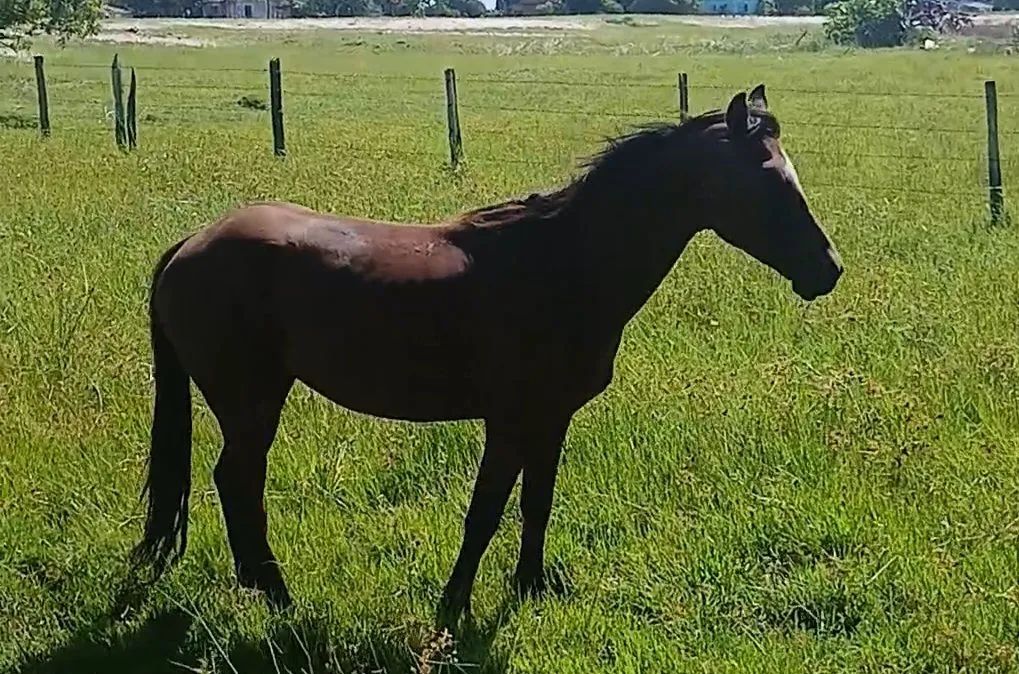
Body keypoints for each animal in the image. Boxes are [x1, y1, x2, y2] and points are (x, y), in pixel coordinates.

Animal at [130, 84, 843, 624]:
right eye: (770, 183)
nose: (828, 269)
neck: (562, 263)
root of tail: (192, 242)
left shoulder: (551, 420)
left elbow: (536, 505)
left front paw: (529, 588)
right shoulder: (508, 422)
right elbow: (484, 513)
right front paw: (455, 606)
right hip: (250, 404)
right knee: (237, 483)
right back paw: (277, 596)